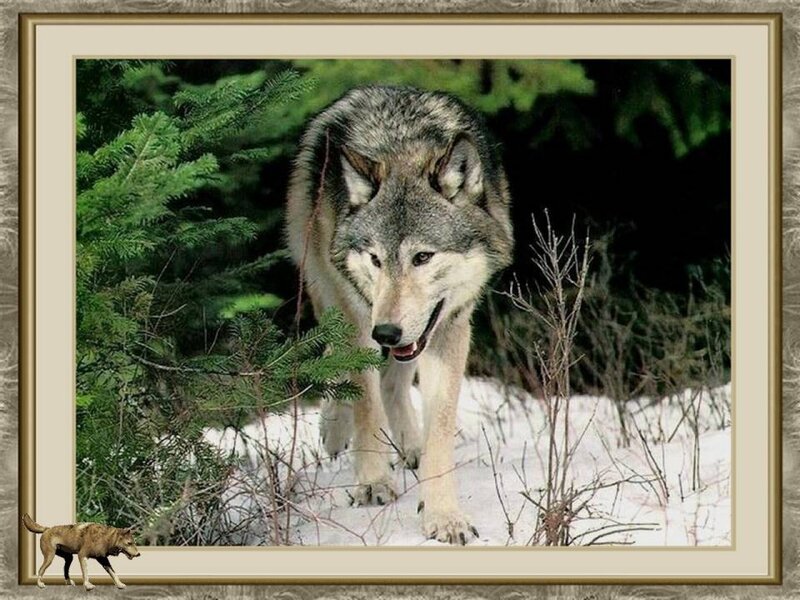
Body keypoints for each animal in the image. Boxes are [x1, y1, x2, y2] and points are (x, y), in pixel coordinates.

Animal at [286, 85, 513, 544]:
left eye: (422, 257)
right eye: (375, 258)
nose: (386, 333)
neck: (404, 146)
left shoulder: (448, 328)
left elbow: (439, 425)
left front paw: (443, 515)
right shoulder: (360, 320)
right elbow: (366, 403)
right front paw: (372, 481)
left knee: (393, 382)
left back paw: (410, 444)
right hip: (327, 287)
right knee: (336, 358)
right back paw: (335, 428)